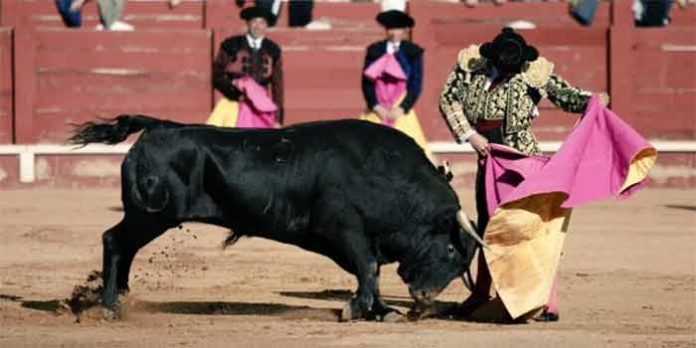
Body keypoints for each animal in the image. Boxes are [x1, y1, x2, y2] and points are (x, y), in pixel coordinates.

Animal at [69, 116, 478, 320]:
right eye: (451, 251)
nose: (424, 297)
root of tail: (159, 128)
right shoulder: (344, 229)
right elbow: (369, 268)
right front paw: (357, 308)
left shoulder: (362, 238)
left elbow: (371, 272)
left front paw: (381, 310)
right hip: (152, 215)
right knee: (115, 241)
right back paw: (110, 306)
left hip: (149, 217)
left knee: (123, 246)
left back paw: (121, 297)